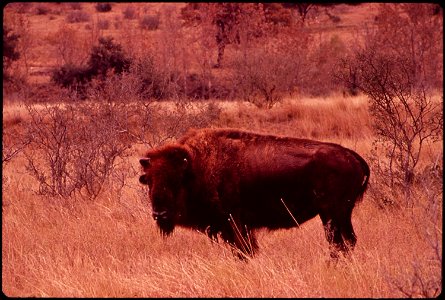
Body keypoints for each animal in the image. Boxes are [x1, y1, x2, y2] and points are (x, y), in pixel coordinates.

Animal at [138, 127, 368, 258]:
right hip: (338, 214)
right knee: (347, 241)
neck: (196, 166)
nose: (159, 214)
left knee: (339, 243)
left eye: (175, 180)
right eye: (148, 180)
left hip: (332, 213)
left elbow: (244, 251)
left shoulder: (235, 223)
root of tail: (351, 156)